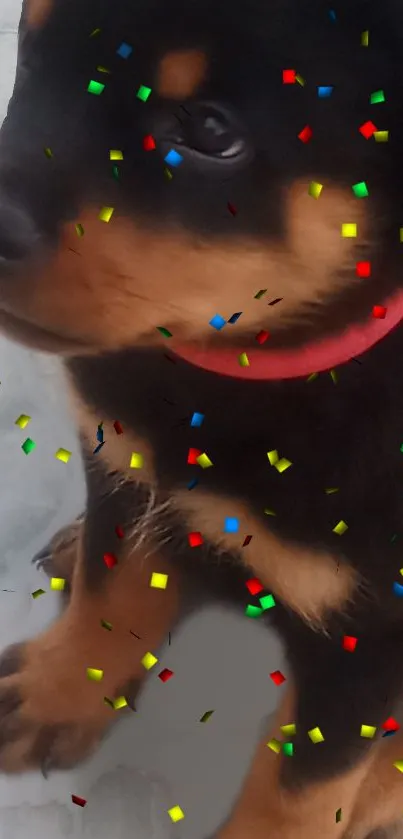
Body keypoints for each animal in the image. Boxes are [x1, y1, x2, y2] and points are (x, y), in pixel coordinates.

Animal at [0, 0, 403, 836]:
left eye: (210, 131)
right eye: (31, 44)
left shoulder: (369, 632)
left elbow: (301, 785)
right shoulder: (119, 447)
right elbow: (109, 588)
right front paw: (58, 688)